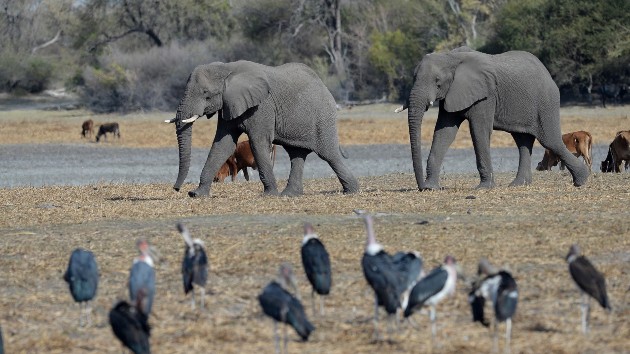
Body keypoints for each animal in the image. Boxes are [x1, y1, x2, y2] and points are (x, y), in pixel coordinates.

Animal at [165, 62, 360, 198]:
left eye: (206, 94)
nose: (176, 189)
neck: (227, 68)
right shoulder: (229, 104)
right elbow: (223, 144)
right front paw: (197, 194)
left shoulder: (261, 107)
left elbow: (258, 143)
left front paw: (269, 195)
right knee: (296, 155)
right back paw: (289, 195)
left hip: (323, 118)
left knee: (329, 155)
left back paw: (352, 191)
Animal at [400, 47, 592, 191]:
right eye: (413, 77)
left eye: (437, 82)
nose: (421, 186)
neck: (451, 56)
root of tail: (548, 74)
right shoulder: (453, 93)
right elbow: (444, 132)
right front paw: (431, 188)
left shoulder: (485, 95)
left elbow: (479, 130)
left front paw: (484, 188)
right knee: (523, 141)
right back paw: (518, 185)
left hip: (546, 102)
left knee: (550, 140)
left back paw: (581, 180)